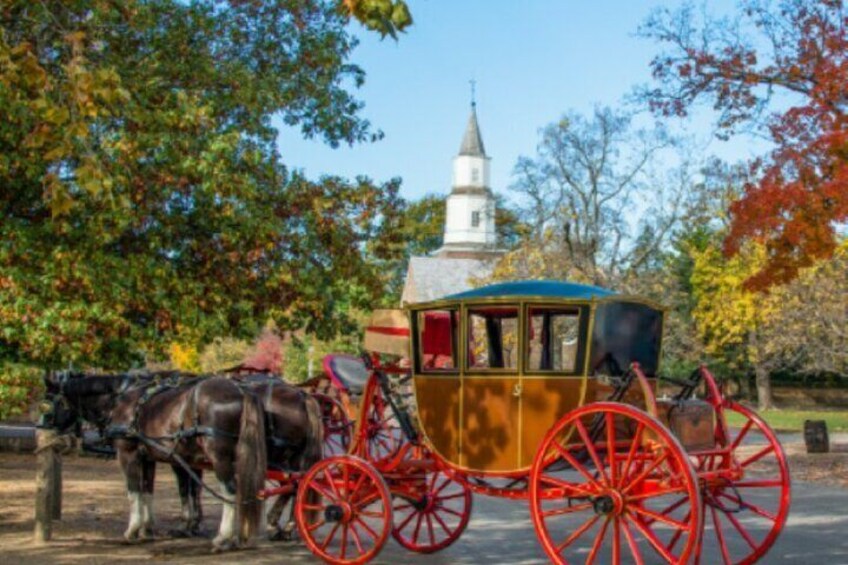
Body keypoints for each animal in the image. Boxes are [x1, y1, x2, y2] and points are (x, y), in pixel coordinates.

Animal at [44, 372, 324, 548]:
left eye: (48, 403)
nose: (42, 426)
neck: (124, 399)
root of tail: (303, 395)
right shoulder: (152, 457)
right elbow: (150, 491)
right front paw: (150, 528)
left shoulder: (132, 453)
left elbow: (139, 491)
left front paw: (134, 530)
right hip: (284, 457)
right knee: (295, 485)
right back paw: (282, 526)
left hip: (231, 456)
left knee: (235, 490)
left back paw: (226, 537)